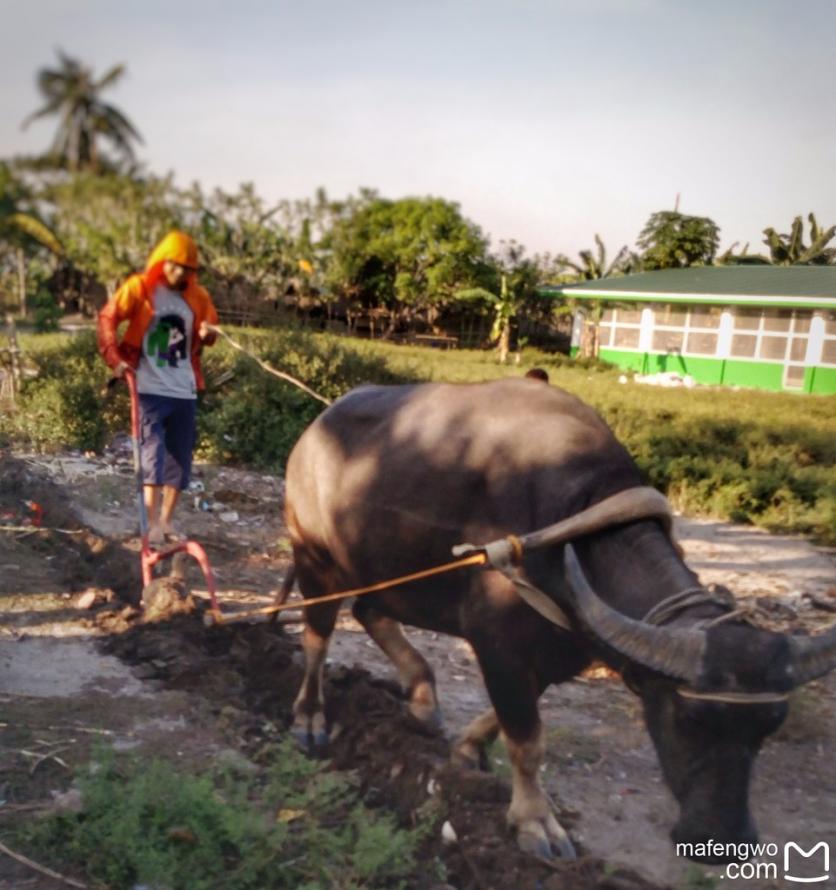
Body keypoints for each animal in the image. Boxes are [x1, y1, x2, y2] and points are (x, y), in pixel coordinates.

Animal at [284, 380, 832, 860]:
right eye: (689, 717)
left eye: (769, 727)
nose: (723, 837)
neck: (572, 520)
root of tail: (313, 434)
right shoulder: (497, 642)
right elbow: (528, 739)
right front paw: (535, 822)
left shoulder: (564, 644)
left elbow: (513, 716)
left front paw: (468, 748)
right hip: (314, 559)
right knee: (318, 635)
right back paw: (310, 717)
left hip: (386, 572)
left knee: (367, 609)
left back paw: (421, 699)